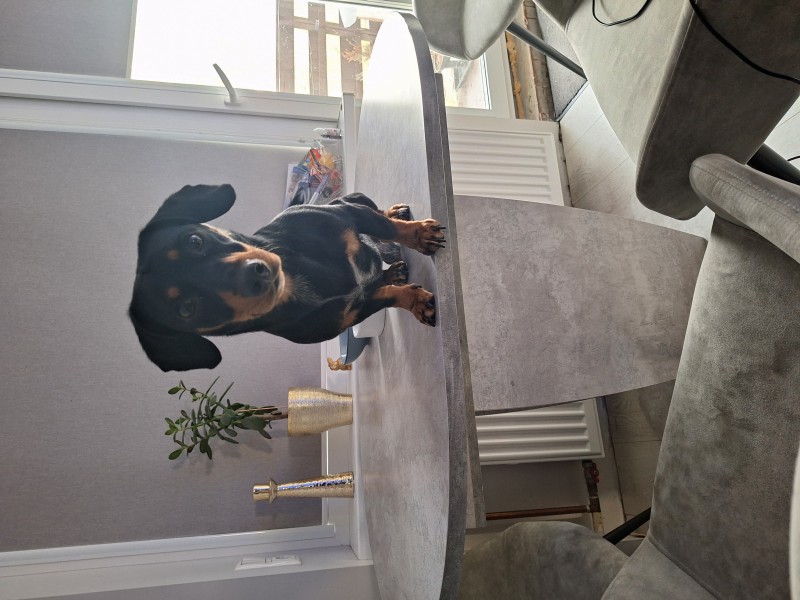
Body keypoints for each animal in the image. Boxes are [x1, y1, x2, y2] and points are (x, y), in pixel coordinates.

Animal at [129, 184, 446, 371]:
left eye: (194, 241)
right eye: (186, 309)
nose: (256, 275)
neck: (301, 277)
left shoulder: (347, 215)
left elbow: (390, 229)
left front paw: (420, 235)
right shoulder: (353, 309)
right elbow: (388, 295)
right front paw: (416, 302)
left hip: (351, 201)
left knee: (375, 212)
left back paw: (395, 215)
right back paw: (392, 271)